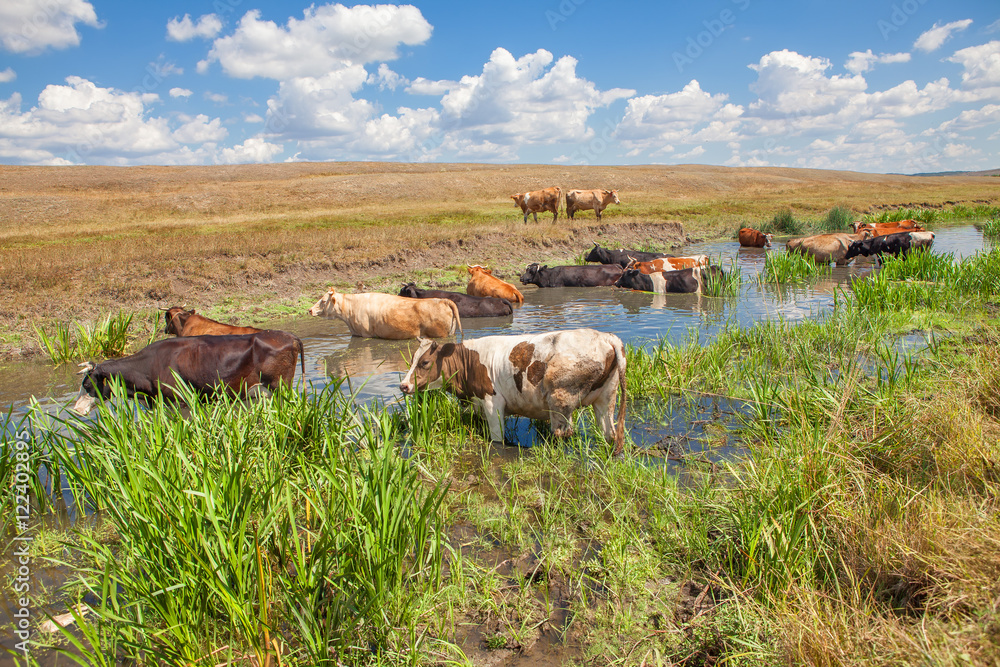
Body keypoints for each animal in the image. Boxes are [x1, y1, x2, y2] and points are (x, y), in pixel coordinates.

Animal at [399, 329, 627, 453]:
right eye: (412, 360)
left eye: (425, 362)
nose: (403, 385)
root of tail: (605, 337)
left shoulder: (492, 402)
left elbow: (497, 439)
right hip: (606, 398)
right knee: (609, 432)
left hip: (560, 401)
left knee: (562, 433)